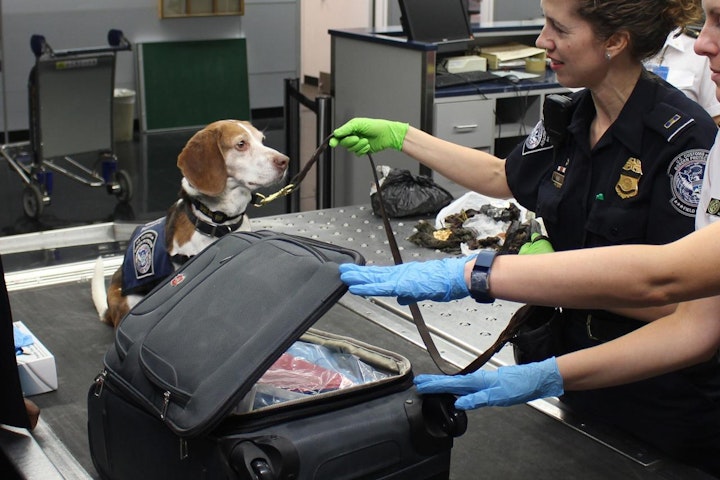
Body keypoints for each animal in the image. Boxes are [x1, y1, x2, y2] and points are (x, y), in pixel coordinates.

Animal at [91, 121, 288, 330]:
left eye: (262, 140)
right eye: (241, 144)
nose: (285, 161)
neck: (219, 222)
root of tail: (109, 312)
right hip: (131, 301)